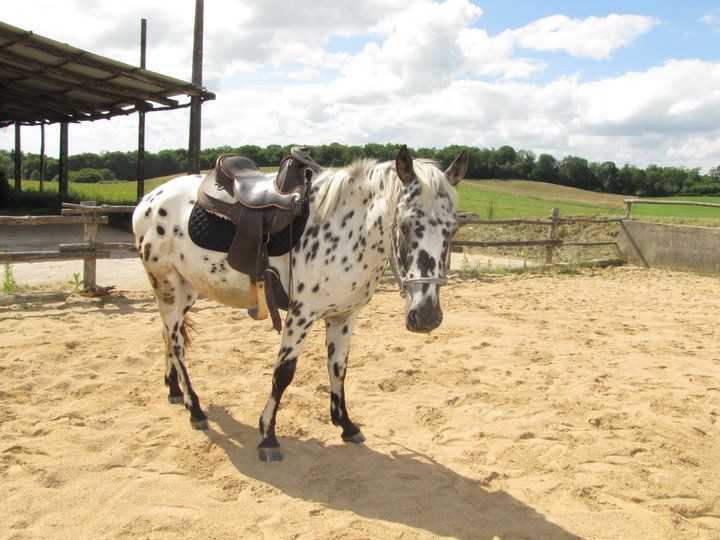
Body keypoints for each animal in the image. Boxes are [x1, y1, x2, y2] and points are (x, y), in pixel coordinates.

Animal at [132, 145, 468, 461]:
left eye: (452, 228)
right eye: (406, 225)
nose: (426, 316)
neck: (346, 230)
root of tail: (149, 199)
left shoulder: (345, 315)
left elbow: (338, 367)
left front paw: (346, 425)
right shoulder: (300, 314)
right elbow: (283, 373)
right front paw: (268, 436)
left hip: (186, 289)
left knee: (167, 335)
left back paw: (174, 390)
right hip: (168, 286)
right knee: (176, 343)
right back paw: (195, 409)